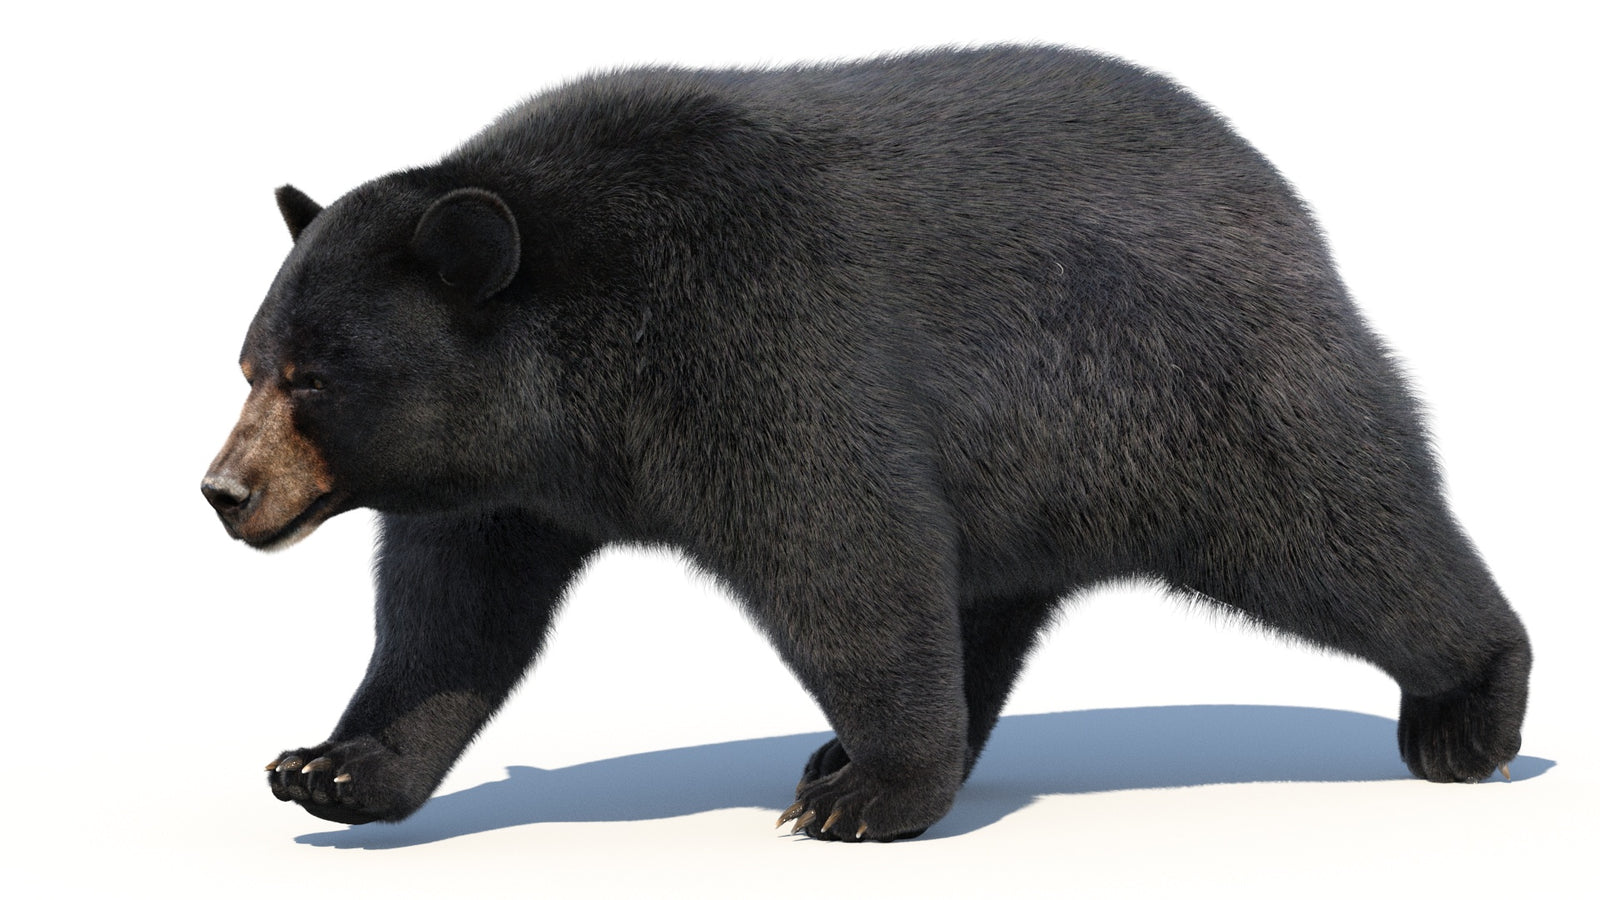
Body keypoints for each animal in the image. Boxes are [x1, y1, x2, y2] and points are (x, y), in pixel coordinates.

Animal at [202, 45, 1531, 842]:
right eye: (252, 363)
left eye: (316, 377)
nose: (225, 490)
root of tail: (1278, 194)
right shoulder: (504, 478)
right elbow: (450, 614)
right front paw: (334, 767)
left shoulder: (746, 339)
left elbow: (840, 547)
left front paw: (868, 799)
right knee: (984, 606)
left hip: (1189, 395)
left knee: (1342, 534)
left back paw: (1468, 709)